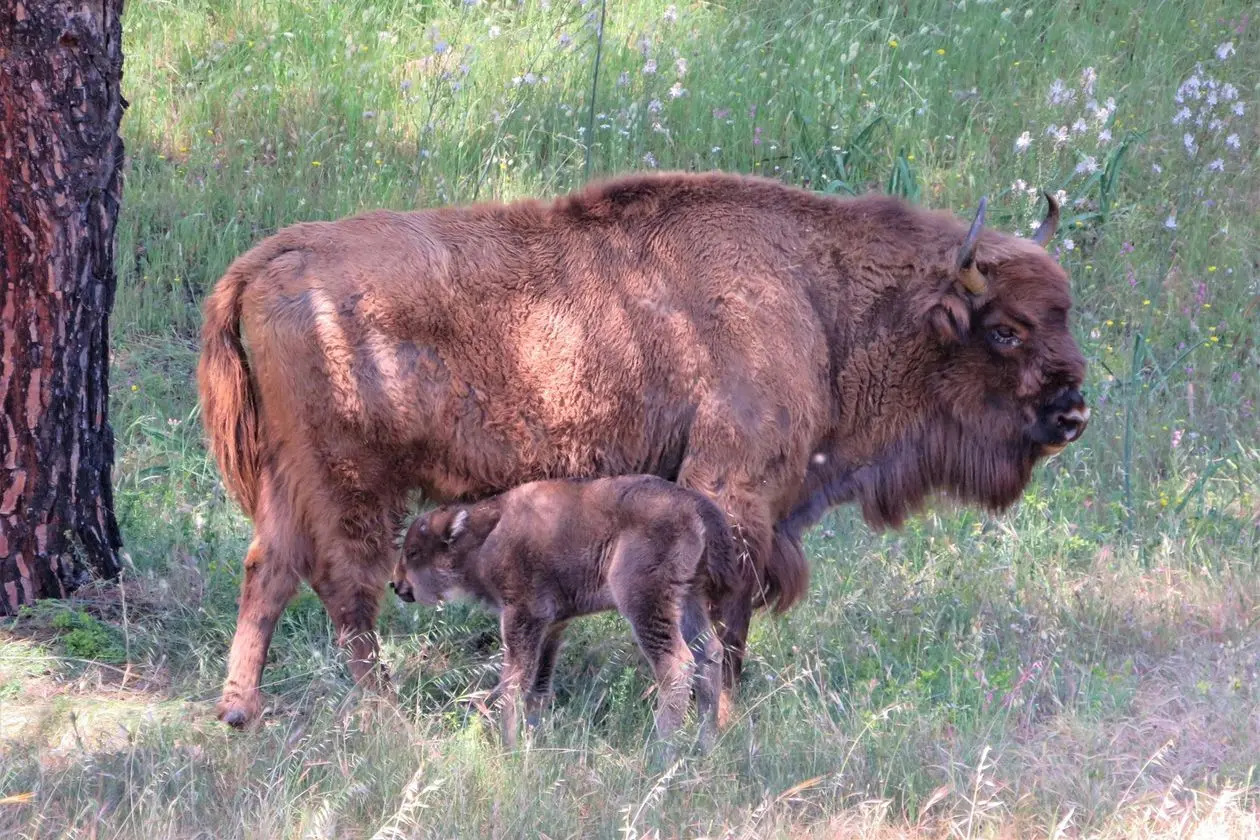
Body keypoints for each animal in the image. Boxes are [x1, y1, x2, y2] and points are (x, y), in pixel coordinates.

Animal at [395, 476, 735, 750]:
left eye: (413, 552)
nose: (397, 584)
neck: (486, 534)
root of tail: (695, 504)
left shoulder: (522, 617)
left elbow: (513, 682)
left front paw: (509, 746)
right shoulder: (554, 625)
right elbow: (538, 687)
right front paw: (533, 741)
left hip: (645, 602)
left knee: (676, 664)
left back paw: (661, 751)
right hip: (690, 597)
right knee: (709, 653)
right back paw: (706, 745)